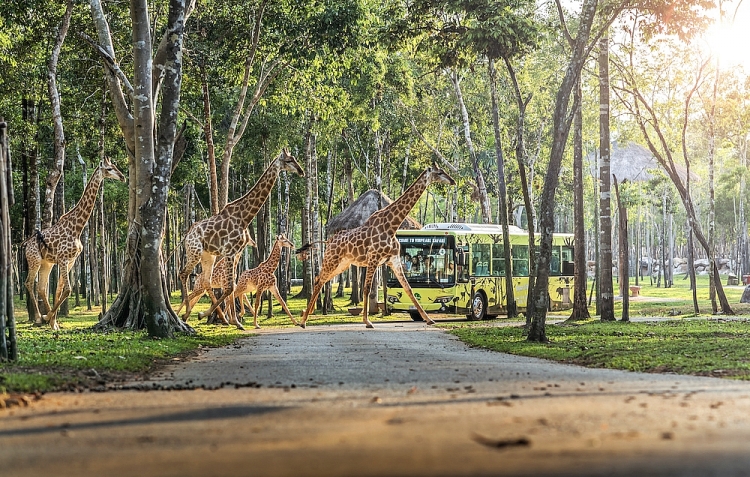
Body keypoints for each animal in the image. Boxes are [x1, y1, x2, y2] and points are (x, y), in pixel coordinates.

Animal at [24, 158, 125, 330]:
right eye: (110, 169)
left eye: (116, 167)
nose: (123, 177)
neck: (77, 228)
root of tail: (25, 246)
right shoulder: (63, 259)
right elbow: (68, 289)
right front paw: (48, 317)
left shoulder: (70, 260)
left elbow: (60, 289)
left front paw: (53, 322)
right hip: (34, 260)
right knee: (29, 283)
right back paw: (38, 317)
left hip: (46, 263)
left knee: (41, 287)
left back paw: (47, 319)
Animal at [178, 149, 304, 328]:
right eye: (288, 160)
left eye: (294, 158)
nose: (301, 171)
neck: (244, 217)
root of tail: (187, 235)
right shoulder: (230, 252)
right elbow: (230, 288)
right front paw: (234, 320)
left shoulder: (233, 252)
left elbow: (231, 287)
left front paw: (231, 320)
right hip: (194, 251)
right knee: (183, 273)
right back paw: (187, 313)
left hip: (208, 255)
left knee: (206, 282)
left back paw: (203, 315)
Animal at [302, 164, 456, 328]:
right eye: (439, 173)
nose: (453, 181)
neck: (392, 226)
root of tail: (328, 242)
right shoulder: (374, 258)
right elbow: (367, 289)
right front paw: (367, 321)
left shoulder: (393, 260)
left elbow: (408, 288)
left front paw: (429, 319)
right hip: (332, 260)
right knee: (319, 280)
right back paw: (303, 321)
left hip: (342, 264)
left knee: (320, 280)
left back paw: (307, 315)